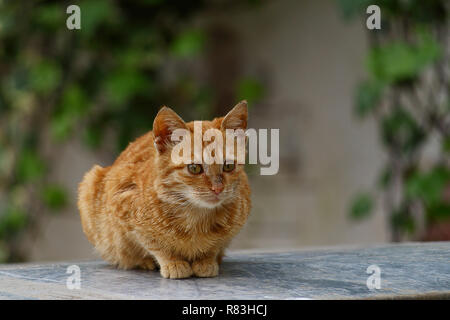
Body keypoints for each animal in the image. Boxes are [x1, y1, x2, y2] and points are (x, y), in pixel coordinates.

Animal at [78, 100, 251, 278]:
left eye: (229, 166)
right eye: (194, 168)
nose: (217, 188)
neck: (196, 218)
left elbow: (215, 246)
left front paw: (206, 261)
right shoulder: (124, 212)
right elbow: (156, 245)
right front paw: (173, 263)